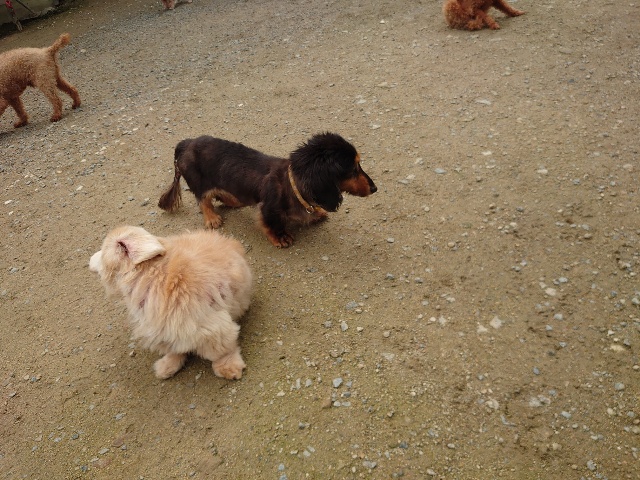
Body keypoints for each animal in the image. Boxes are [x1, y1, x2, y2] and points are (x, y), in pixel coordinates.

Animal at [89, 226, 252, 380]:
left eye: (102, 251)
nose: (89, 259)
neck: (151, 276)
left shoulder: (214, 328)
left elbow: (221, 352)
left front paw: (228, 367)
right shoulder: (164, 332)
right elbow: (174, 350)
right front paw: (168, 365)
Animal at [158, 132, 377, 248]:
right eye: (353, 169)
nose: (375, 188)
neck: (293, 183)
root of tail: (186, 143)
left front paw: (316, 213)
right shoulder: (268, 208)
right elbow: (272, 223)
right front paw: (280, 236)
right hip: (199, 183)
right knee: (203, 200)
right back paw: (212, 218)